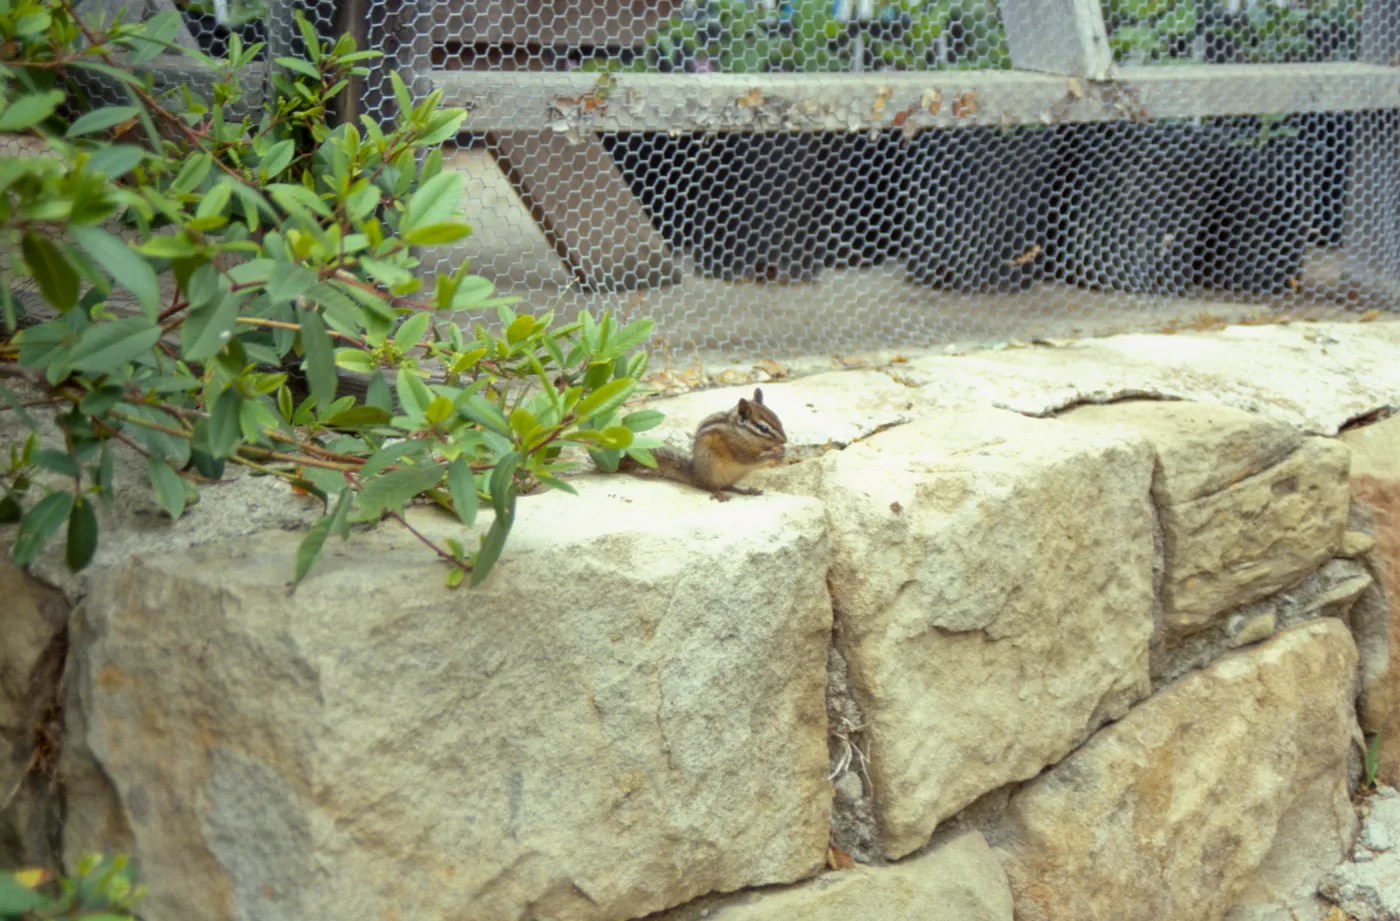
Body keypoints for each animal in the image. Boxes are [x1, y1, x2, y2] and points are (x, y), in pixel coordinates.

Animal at [617, 388, 787, 502]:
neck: (740, 433)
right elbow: (750, 459)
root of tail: (696, 474)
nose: (784, 440)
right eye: (763, 428)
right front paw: (774, 453)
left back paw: (746, 490)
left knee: (729, 486)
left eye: (778, 420)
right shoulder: (737, 449)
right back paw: (719, 493)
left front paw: (782, 452)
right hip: (711, 467)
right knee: (710, 486)